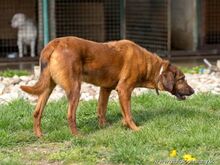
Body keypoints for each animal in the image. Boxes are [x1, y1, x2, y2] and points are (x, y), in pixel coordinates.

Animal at [19, 36, 193, 137]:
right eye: (182, 79)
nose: (193, 91)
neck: (153, 67)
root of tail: (55, 43)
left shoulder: (106, 89)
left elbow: (102, 110)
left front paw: (106, 127)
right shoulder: (124, 90)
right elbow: (128, 114)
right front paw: (134, 129)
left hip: (47, 88)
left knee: (37, 112)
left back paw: (39, 135)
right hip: (75, 89)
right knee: (70, 115)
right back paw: (77, 136)